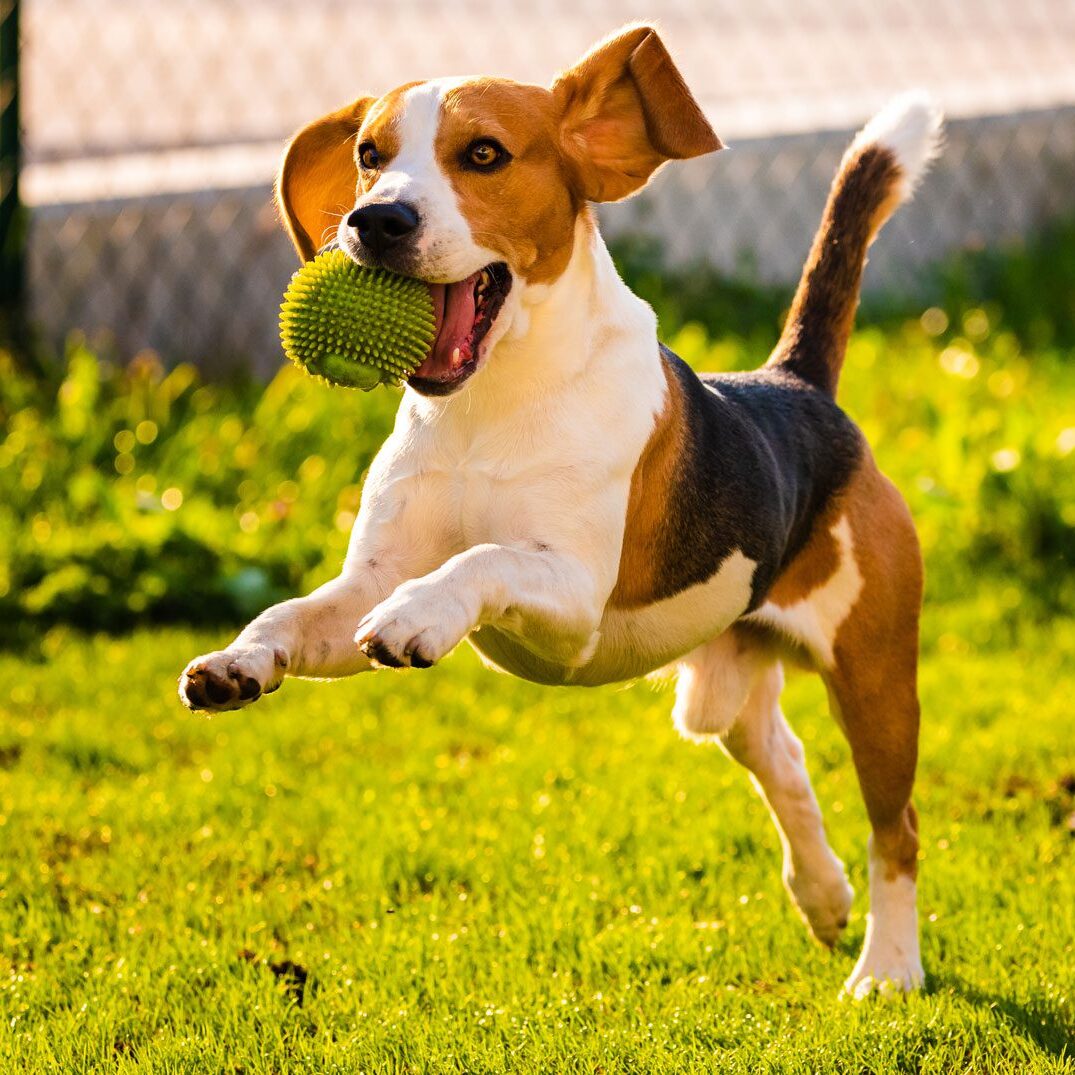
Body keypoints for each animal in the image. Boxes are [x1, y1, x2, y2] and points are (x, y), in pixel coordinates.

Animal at [180, 25, 946, 997]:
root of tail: (795, 385)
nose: (375, 221)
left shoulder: (572, 600)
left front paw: (421, 617)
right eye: (369, 156)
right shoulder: (365, 581)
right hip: (723, 683)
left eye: (483, 155)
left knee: (897, 829)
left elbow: (479, 561)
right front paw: (237, 662)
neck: (486, 404)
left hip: (876, 680)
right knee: (783, 759)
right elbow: (290, 612)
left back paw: (886, 964)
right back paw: (821, 895)